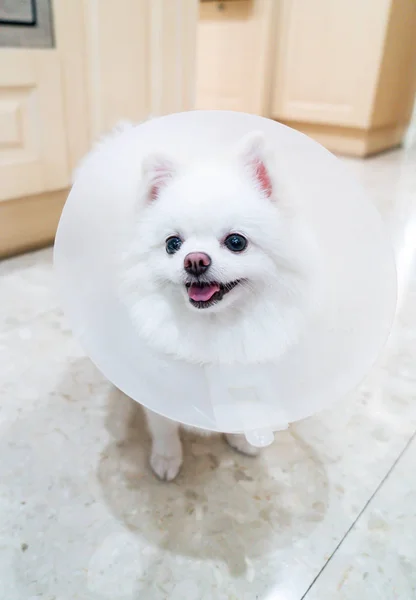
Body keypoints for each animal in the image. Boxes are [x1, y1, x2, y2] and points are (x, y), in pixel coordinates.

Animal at [117, 129, 318, 480]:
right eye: (173, 244)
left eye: (236, 242)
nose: (194, 260)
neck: (214, 325)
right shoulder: (157, 382)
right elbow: (163, 424)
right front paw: (167, 457)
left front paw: (243, 439)